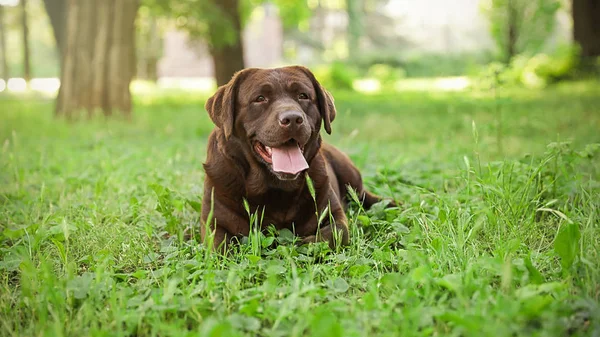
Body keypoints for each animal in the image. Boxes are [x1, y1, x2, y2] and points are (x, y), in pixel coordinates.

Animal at [202, 65, 394, 249]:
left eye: (303, 96)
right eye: (260, 98)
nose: (293, 118)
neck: (276, 188)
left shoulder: (334, 213)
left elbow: (335, 234)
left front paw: (302, 244)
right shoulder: (213, 222)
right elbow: (220, 246)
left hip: (350, 177)